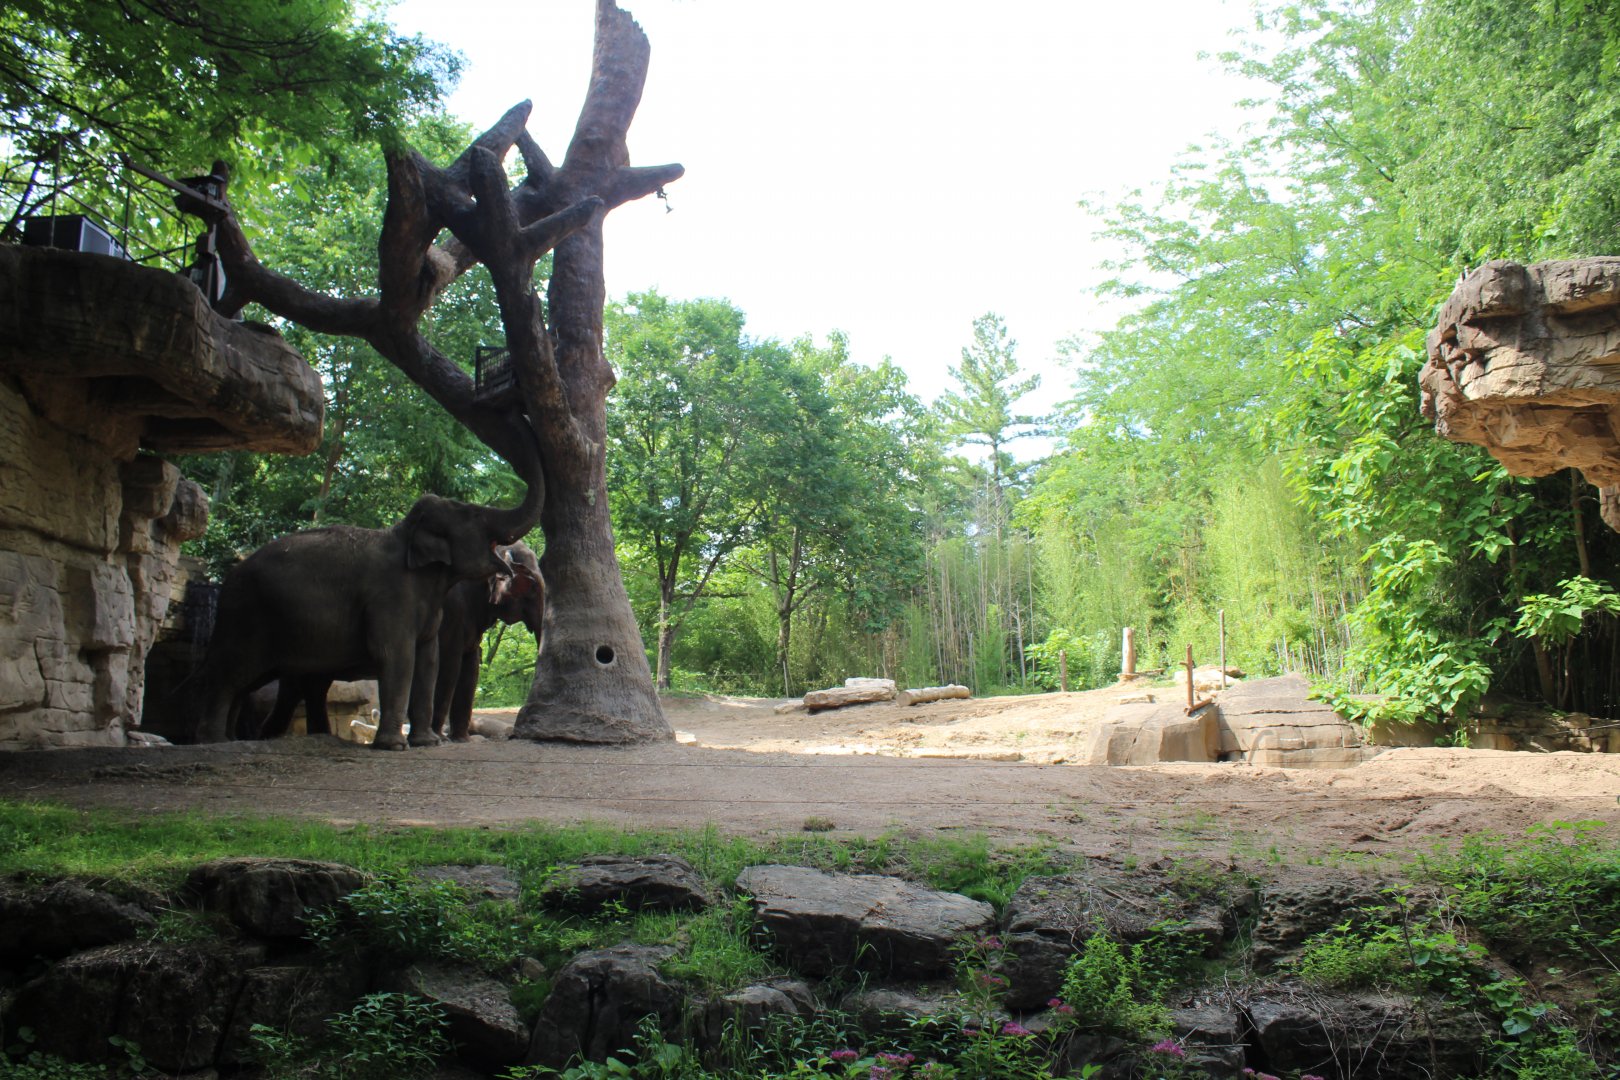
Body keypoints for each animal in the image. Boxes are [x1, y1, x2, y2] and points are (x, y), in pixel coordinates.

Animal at [187, 492, 534, 749]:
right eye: (473, 514)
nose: (513, 568)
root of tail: (228, 577)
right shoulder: (392, 595)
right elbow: (398, 655)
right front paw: (397, 746)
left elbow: (428, 658)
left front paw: (427, 743)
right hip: (247, 618)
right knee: (232, 675)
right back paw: (215, 741)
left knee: (272, 684)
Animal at [432, 540, 545, 741]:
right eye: (531, 587)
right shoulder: (452, 611)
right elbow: (450, 663)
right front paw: (441, 738)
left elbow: (471, 665)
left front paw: (463, 739)